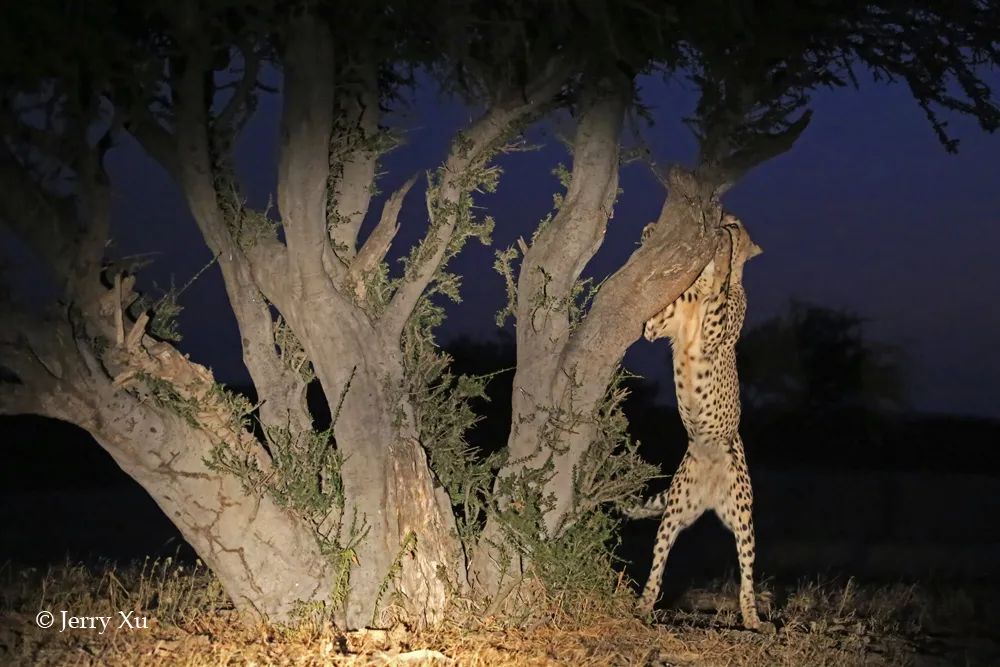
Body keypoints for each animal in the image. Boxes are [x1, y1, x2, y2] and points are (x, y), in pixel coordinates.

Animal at [624, 215, 764, 632]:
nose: (727, 223)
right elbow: (656, 320)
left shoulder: (714, 332)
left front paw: (724, 254)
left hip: (743, 517)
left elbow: (722, 284)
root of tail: (710, 498)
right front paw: (650, 231)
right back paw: (643, 604)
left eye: (737, 225)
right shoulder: (655, 326)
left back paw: (753, 618)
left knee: (747, 572)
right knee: (659, 560)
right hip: (676, 512)